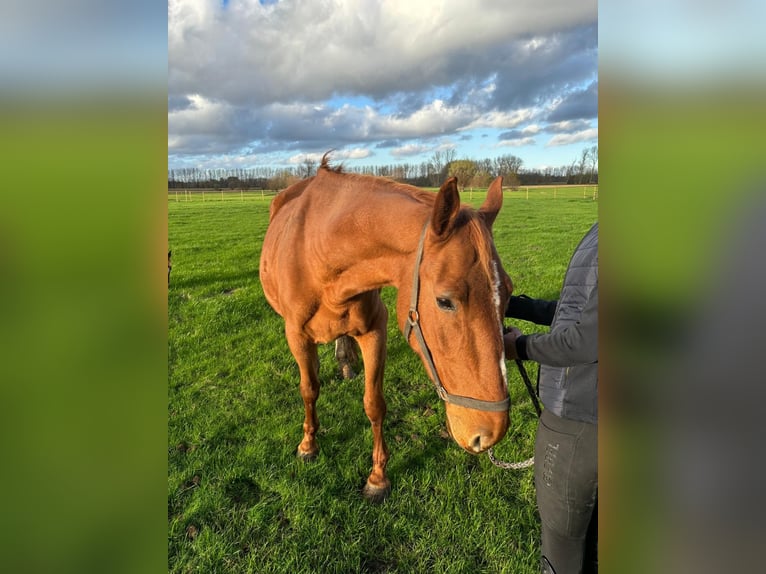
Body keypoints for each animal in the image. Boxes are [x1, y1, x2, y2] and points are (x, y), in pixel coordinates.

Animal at [260, 156, 516, 500]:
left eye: (509, 293)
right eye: (444, 301)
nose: (490, 432)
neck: (321, 253)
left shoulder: (374, 332)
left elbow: (374, 404)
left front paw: (378, 477)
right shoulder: (297, 336)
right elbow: (309, 389)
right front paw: (308, 445)